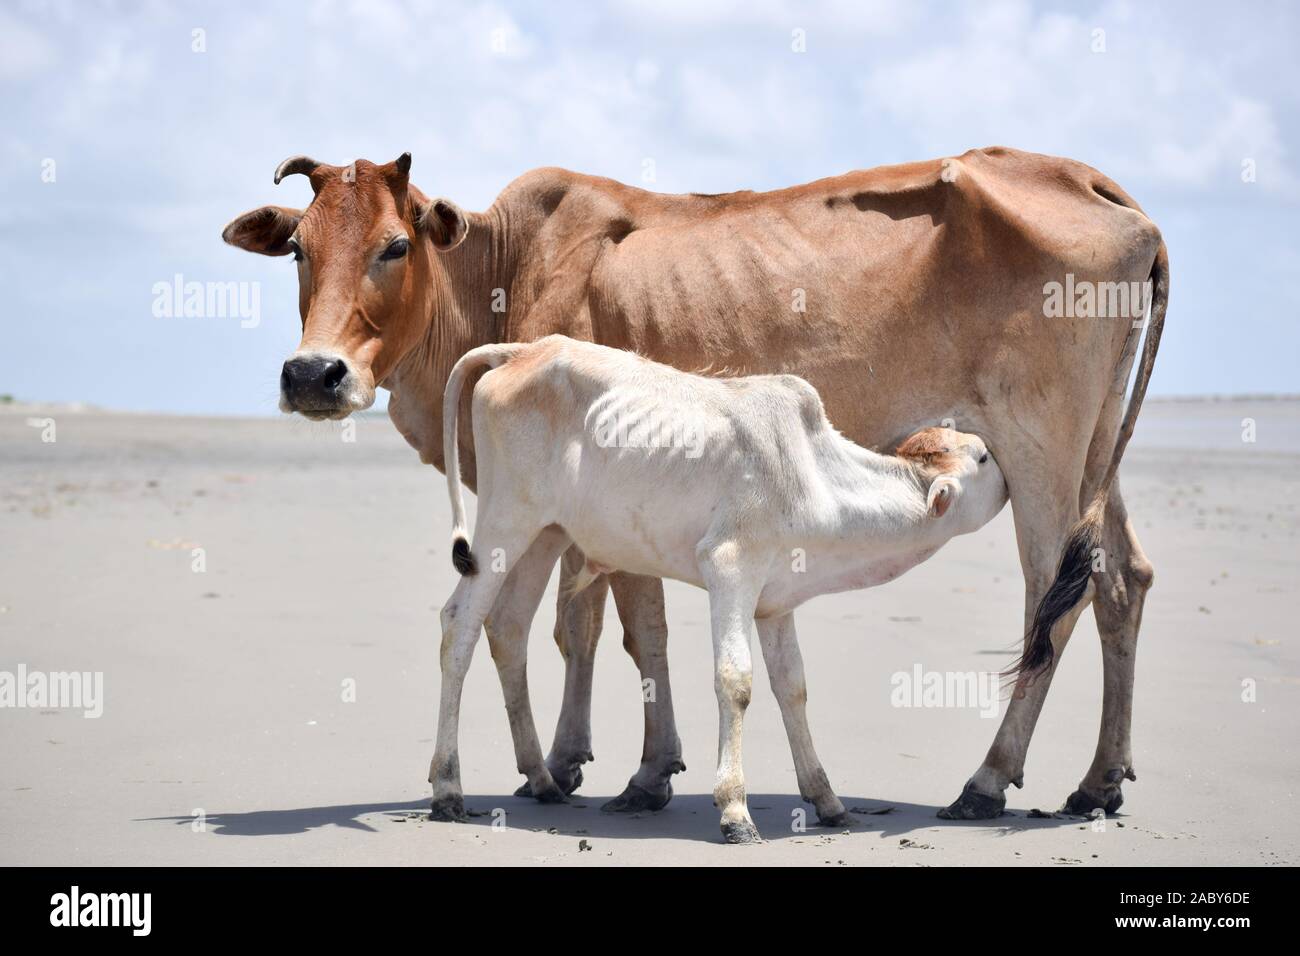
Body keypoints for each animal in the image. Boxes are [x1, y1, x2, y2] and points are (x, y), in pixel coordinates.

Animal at [431, 335, 1008, 842]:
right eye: (982, 458)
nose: (1009, 481)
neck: (815, 476)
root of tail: (525, 350)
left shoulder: (776, 603)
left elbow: (792, 688)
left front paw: (827, 800)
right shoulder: (730, 568)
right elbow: (736, 681)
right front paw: (735, 811)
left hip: (547, 535)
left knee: (508, 628)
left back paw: (542, 779)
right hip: (506, 522)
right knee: (460, 624)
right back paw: (447, 788)